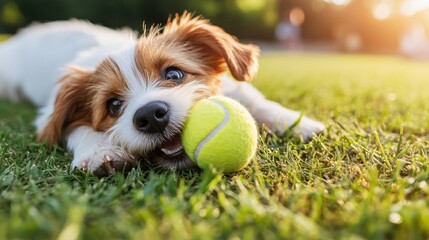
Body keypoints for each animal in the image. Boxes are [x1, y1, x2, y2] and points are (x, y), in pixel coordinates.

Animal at [0, 13, 322, 175]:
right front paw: (98, 151)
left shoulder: (234, 86)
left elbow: (253, 97)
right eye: (113, 105)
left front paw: (295, 122)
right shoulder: (49, 113)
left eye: (174, 74)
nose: (151, 116)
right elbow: (77, 128)